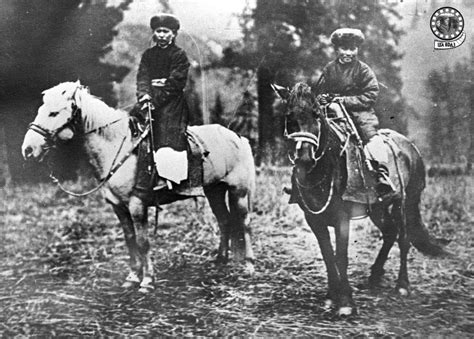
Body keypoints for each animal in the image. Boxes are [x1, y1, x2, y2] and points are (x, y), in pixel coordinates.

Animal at [23, 81, 256, 294]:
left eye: (53, 113)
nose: (28, 149)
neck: (117, 146)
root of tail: (237, 137)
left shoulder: (137, 205)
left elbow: (143, 242)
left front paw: (147, 281)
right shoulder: (118, 207)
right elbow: (130, 240)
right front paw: (133, 277)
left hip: (238, 192)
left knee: (244, 223)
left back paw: (249, 265)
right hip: (214, 191)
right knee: (224, 220)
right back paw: (220, 259)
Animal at [274, 83, 444, 318]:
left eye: (316, 114)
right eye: (289, 116)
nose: (305, 157)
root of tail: (409, 146)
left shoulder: (342, 219)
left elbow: (341, 256)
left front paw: (346, 302)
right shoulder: (314, 219)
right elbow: (328, 256)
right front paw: (331, 297)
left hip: (403, 203)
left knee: (403, 239)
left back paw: (402, 285)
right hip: (378, 208)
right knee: (390, 233)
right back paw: (375, 276)